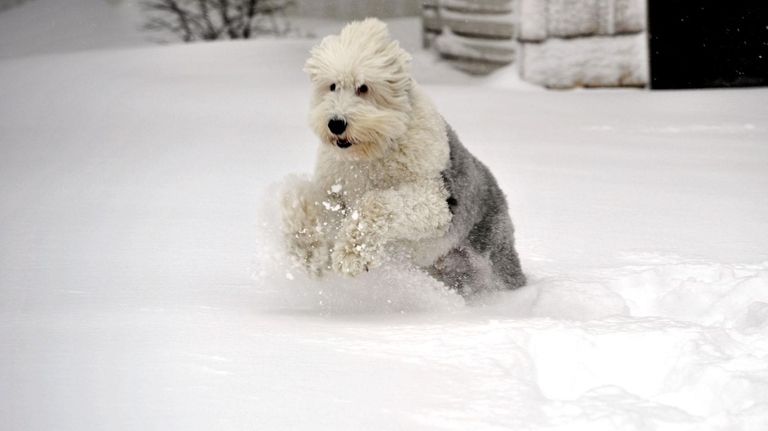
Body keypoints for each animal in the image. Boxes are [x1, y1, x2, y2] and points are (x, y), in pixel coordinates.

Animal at [282, 17, 528, 294]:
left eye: (364, 88)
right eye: (332, 86)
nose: (336, 123)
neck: (371, 153)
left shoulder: (436, 202)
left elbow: (375, 203)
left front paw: (352, 255)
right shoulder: (334, 191)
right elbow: (297, 194)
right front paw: (308, 252)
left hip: (491, 253)